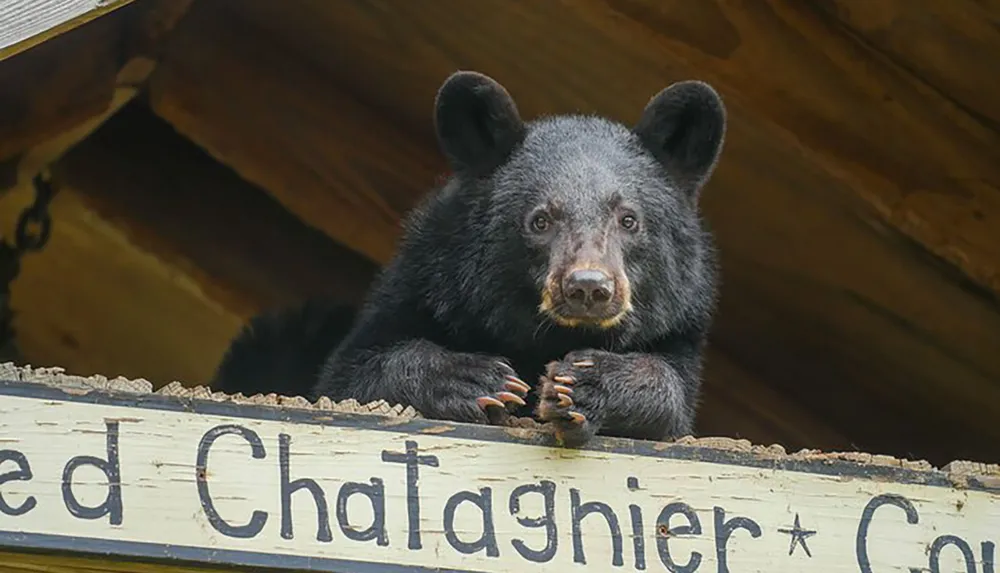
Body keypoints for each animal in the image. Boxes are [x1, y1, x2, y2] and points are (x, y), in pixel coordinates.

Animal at [308, 71, 724, 446]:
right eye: (540, 220)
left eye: (628, 219)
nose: (588, 287)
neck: (547, 335)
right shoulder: (425, 282)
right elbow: (353, 374)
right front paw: (477, 378)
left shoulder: (679, 322)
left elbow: (669, 390)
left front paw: (583, 383)